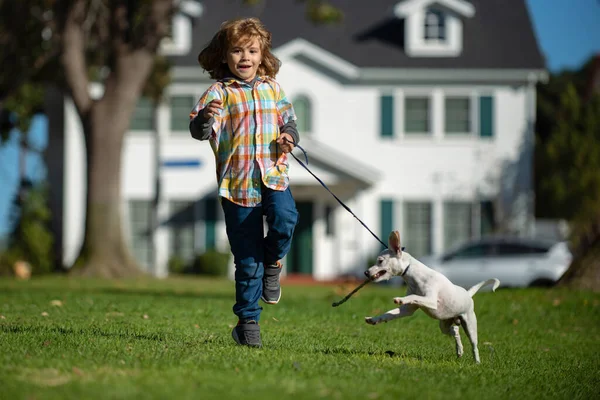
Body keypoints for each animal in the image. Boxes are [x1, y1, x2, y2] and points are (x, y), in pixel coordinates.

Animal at [364, 230, 500, 364]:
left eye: (380, 261)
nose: (366, 272)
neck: (415, 276)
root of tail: (468, 293)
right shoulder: (407, 310)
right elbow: (389, 313)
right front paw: (374, 319)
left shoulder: (431, 301)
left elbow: (414, 296)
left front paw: (401, 299)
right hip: (444, 325)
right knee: (455, 330)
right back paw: (459, 350)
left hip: (470, 325)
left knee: (474, 345)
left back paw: (477, 362)